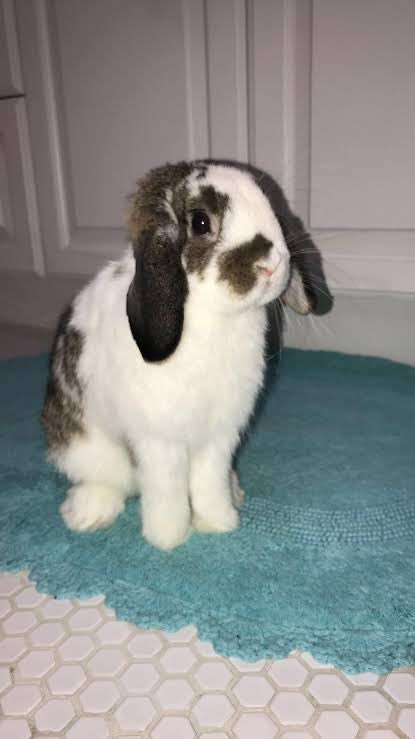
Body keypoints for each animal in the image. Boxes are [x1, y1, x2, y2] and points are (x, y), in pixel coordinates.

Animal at [42, 160, 329, 550]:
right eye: (201, 222)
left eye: (271, 207)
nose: (271, 265)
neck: (217, 315)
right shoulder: (160, 442)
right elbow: (168, 491)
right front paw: (169, 539)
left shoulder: (219, 436)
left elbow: (209, 483)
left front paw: (218, 524)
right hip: (83, 447)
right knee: (102, 480)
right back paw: (87, 515)